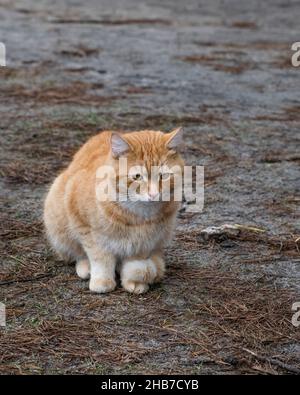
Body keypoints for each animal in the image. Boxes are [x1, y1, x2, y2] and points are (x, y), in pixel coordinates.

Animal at [43, 129, 184, 294]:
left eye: (163, 176)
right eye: (137, 176)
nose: (153, 194)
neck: (138, 215)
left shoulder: (145, 241)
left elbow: (135, 260)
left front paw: (132, 280)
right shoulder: (86, 228)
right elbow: (100, 257)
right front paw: (102, 281)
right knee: (76, 253)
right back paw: (86, 267)